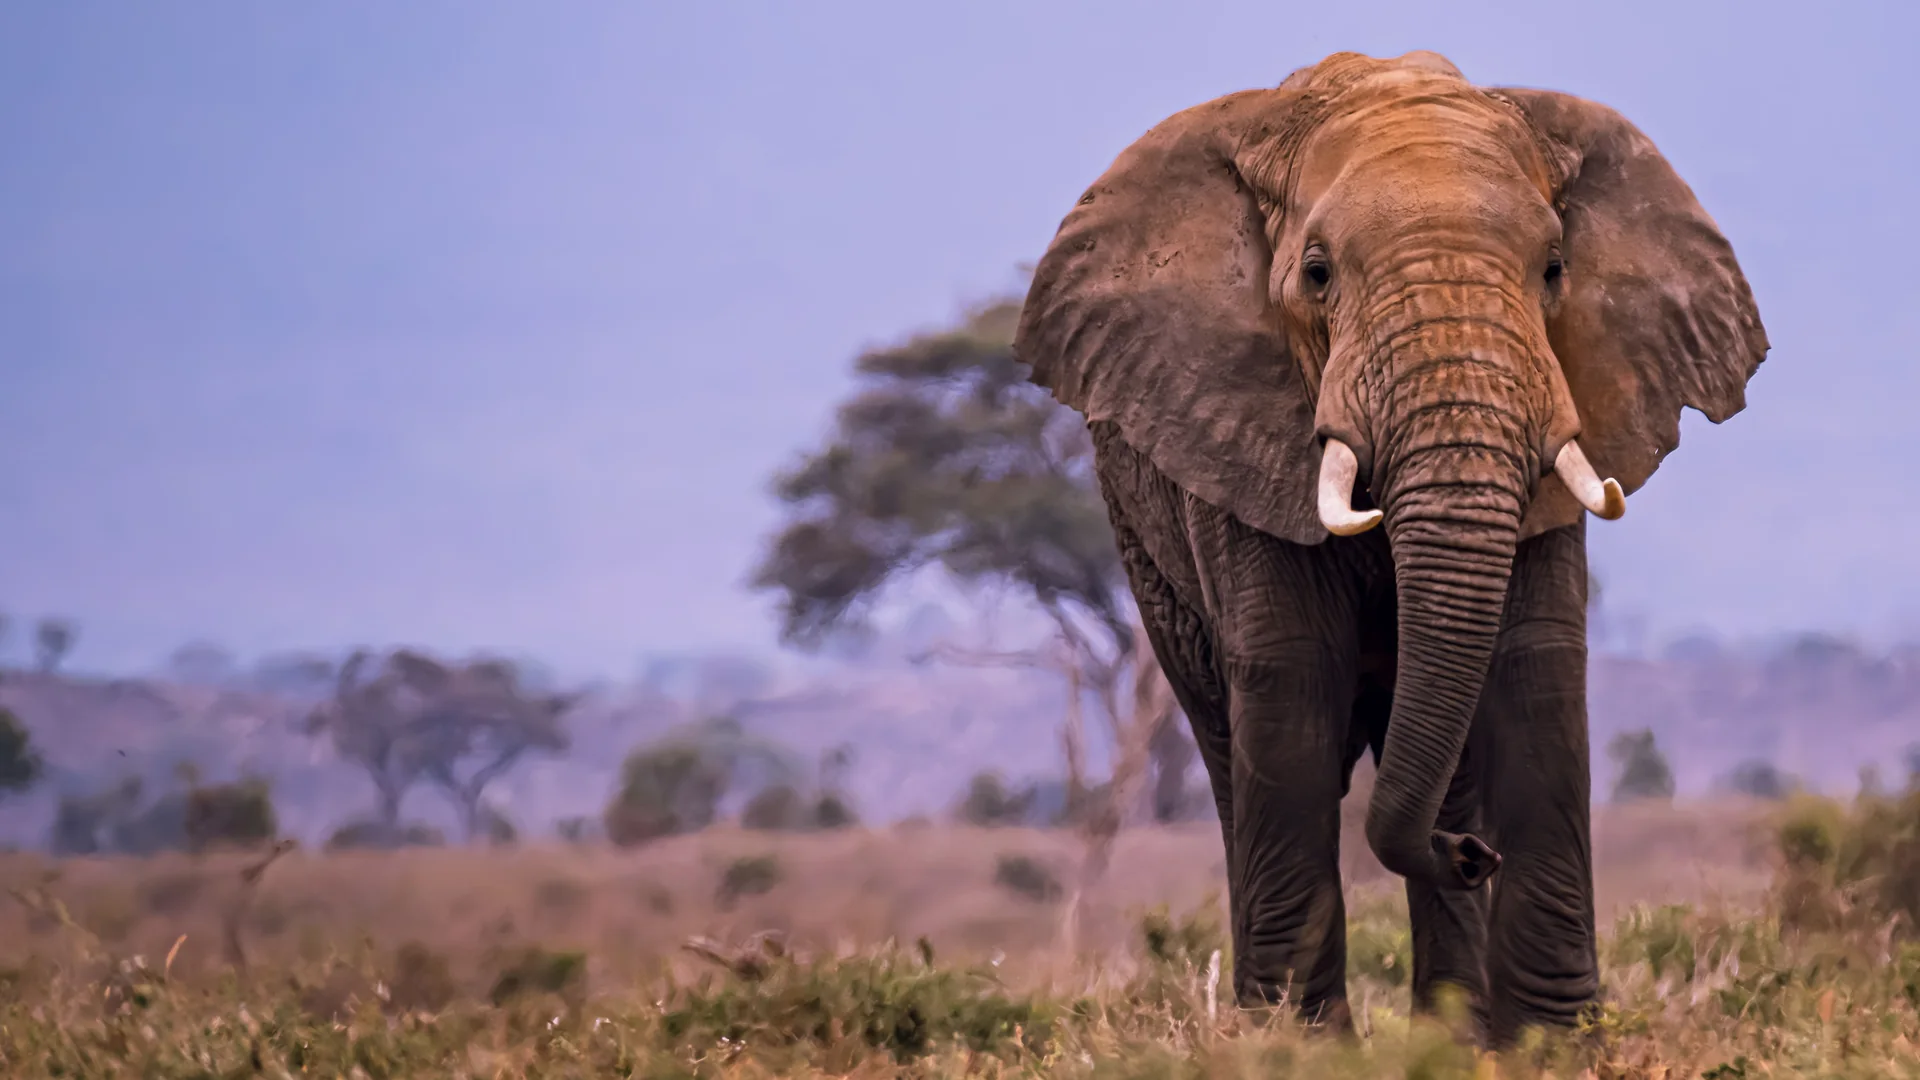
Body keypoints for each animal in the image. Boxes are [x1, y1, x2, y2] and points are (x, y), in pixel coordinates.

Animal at [1012, 50, 1769, 1044]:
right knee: (1228, 749)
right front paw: (1296, 1046)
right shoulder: (1234, 425)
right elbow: (1289, 679)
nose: (1473, 855)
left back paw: (1455, 1029)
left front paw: (1554, 1043)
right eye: (1317, 273)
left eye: (1554, 269)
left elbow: (1535, 671)